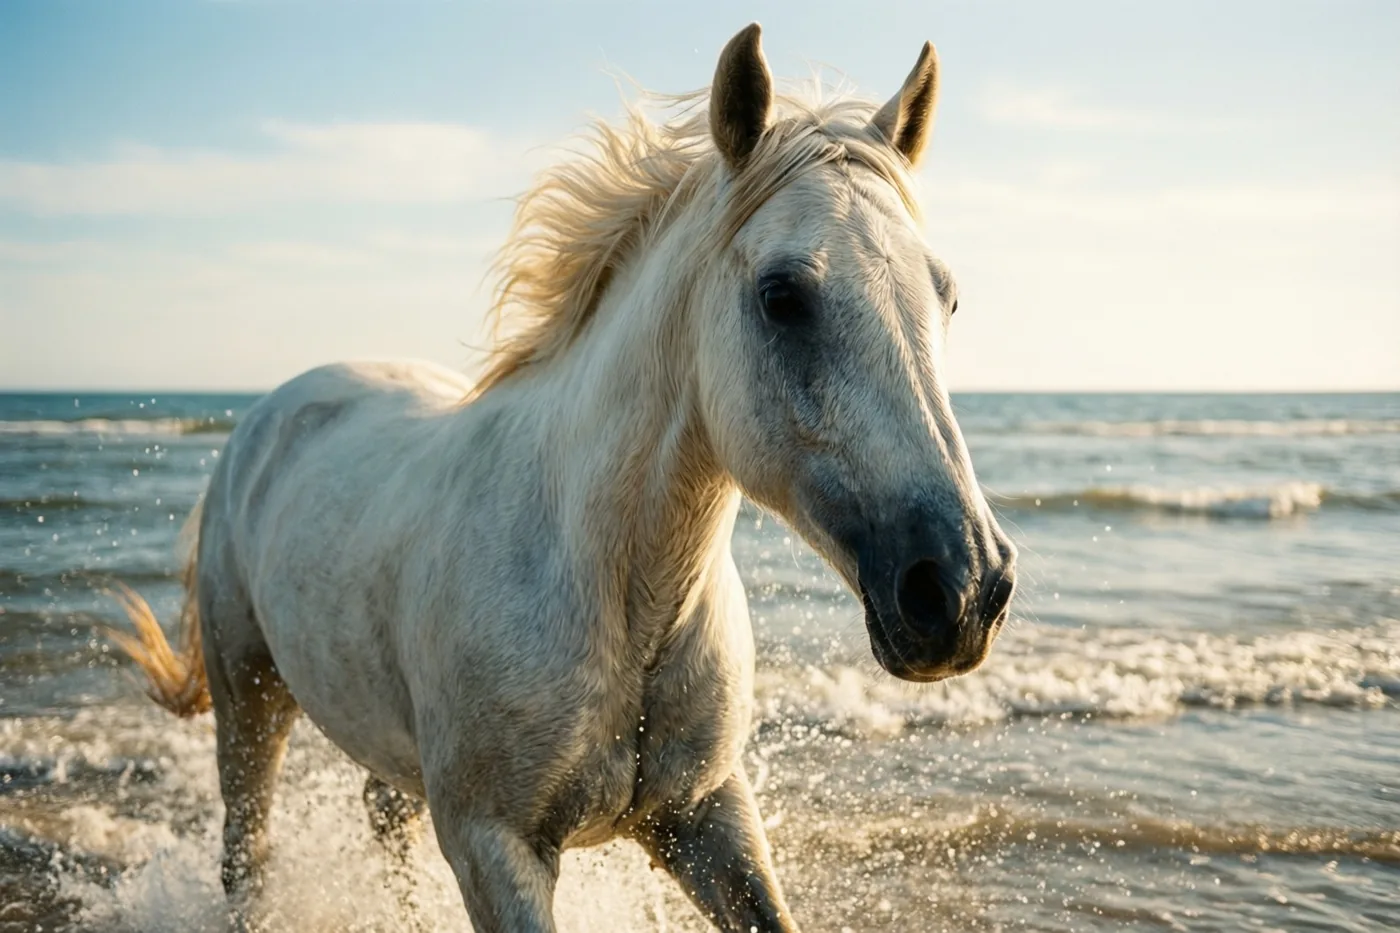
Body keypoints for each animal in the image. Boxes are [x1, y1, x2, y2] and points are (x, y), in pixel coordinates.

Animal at [112, 23, 1017, 933]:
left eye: (947, 296)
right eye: (782, 294)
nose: (963, 587)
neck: (612, 586)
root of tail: (271, 413)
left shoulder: (708, 816)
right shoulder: (494, 846)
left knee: (382, 812)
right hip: (250, 700)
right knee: (246, 851)